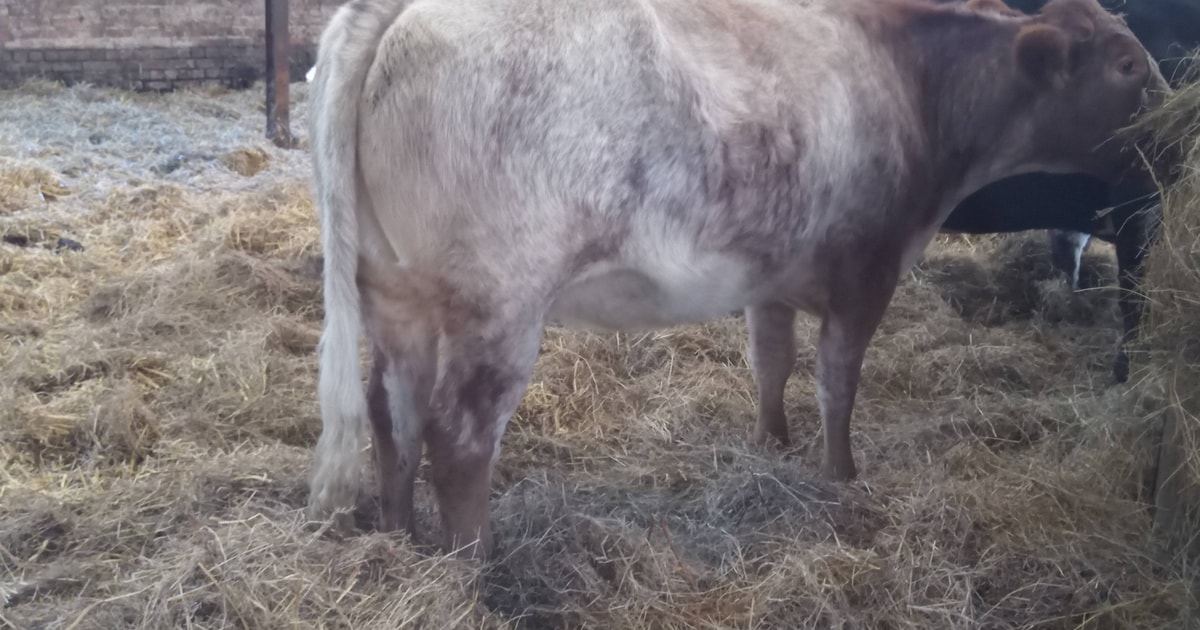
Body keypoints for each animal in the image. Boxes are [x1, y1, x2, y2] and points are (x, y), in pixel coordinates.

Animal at [305, 0, 1169, 559]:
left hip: (396, 292)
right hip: (499, 302)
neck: (909, 82)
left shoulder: (771, 276)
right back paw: (475, 568)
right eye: (1129, 64)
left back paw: (400, 539)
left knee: (392, 411)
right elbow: (837, 381)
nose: (1175, 126)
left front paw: (771, 448)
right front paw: (841, 477)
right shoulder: (868, 265)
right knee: (458, 435)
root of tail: (396, 13)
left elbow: (771, 363)